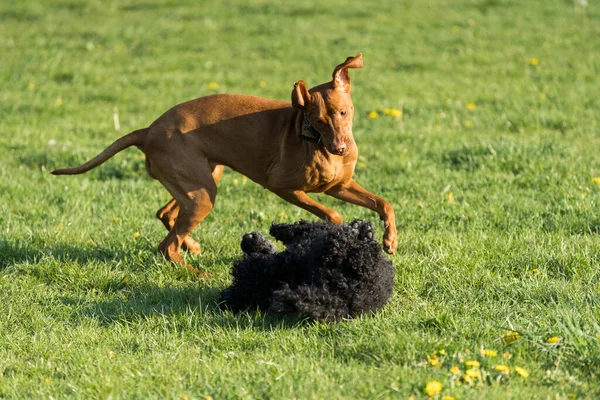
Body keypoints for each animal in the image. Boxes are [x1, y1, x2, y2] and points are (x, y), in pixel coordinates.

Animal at [52, 54, 398, 266]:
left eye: (343, 112)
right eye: (317, 121)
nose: (340, 148)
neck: (312, 140)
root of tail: (148, 130)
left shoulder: (340, 186)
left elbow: (384, 203)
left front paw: (390, 240)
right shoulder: (282, 186)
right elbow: (333, 215)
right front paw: (340, 236)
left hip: (202, 181)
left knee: (166, 215)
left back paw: (192, 246)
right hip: (203, 192)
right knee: (167, 245)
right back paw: (195, 272)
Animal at [219, 219, 394, 322]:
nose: (246, 238)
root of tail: (345, 300)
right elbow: (304, 226)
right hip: (360, 264)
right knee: (353, 248)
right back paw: (356, 233)